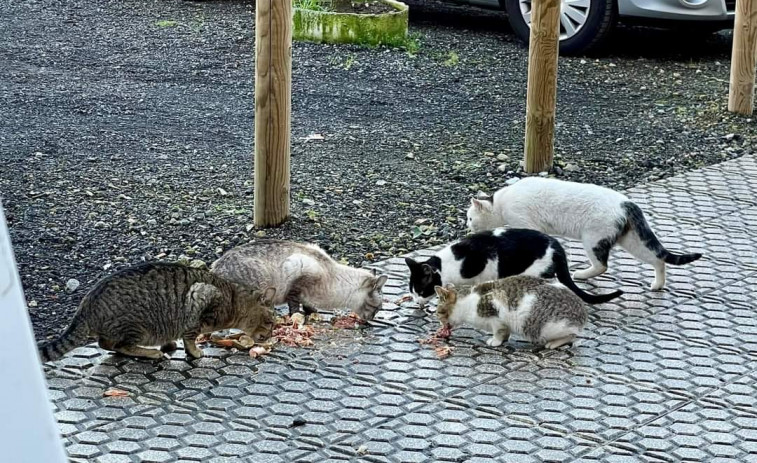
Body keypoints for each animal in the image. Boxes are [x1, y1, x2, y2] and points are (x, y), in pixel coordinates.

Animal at [37, 262, 274, 364]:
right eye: (271, 322)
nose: (271, 334)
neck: (233, 297)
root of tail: (84, 307)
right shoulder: (199, 297)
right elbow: (190, 336)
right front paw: (194, 351)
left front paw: (171, 344)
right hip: (136, 326)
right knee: (120, 345)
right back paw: (150, 353)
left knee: (106, 343)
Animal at [211, 241, 390, 320]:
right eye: (377, 308)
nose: (372, 319)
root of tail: (215, 267)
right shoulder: (296, 277)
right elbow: (295, 305)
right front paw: (298, 316)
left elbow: (308, 304)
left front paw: (312, 311)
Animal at [404, 228, 624, 308]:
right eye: (412, 292)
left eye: (421, 291)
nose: (416, 301)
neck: (446, 264)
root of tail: (557, 247)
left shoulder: (484, 268)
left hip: (533, 271)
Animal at [434, 278, 588, 350]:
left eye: (439, 312)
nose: (440, 322)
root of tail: (582, 317)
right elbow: (506, 332)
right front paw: (504, 340)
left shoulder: (496, 317)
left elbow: (499, 332)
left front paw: (495, 341)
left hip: (551, 328)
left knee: (572, 336)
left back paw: (553, 343)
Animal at [466, 177, 704, 290]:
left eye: (469, 218)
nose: (466, 225)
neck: (500, 204)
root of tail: (627, 202)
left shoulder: (525, 221)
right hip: (631, 242)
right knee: (657, 259)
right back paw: (657, 284)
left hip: (592, 239)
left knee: (602, 265)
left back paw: (580, 274)